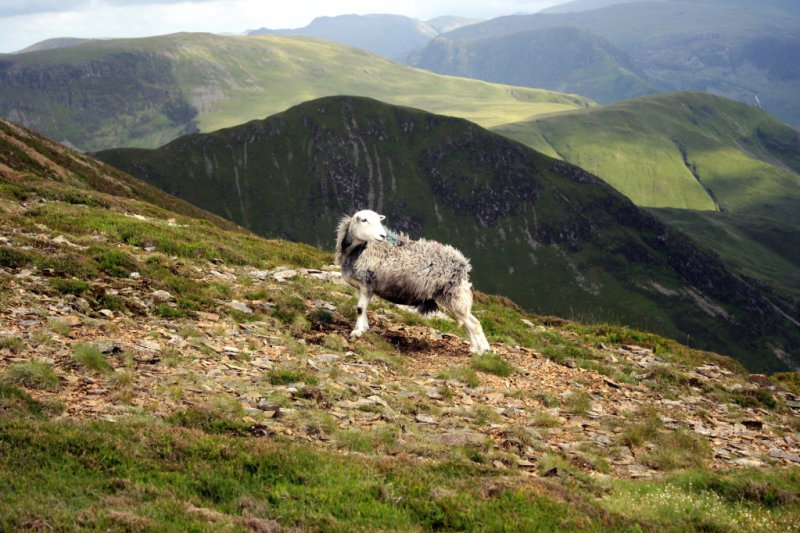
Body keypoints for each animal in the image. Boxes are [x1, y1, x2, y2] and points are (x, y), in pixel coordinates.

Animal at [334, 208, 490, 354]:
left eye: (379, 220)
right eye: (364, 220)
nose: (383, 236)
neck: (360, 249)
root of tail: (463, 264)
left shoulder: (367, 284)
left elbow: (360, 309)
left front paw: (357, 332)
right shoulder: (360, 286)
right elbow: (362, 309)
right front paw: (364, 328)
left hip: (453, 295)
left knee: (473, 323)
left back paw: (482, 351)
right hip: (455, 297)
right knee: (468, 323)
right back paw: (475, 349)